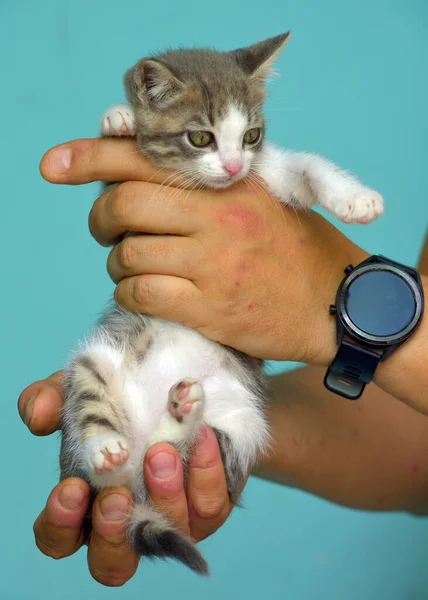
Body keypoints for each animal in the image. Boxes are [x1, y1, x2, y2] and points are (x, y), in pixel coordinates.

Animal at [59, 32, 382, 576]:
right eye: (200, 138)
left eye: (251, 135)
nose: (233, 167)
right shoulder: (127, 209)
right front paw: (119, 119)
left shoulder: (268, 171)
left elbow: (304, 166)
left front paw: (354, 198)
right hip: (93, 363)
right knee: (106, 470)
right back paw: (107, 448)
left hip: (239, 422)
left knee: (167, 453)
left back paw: (179, 412)